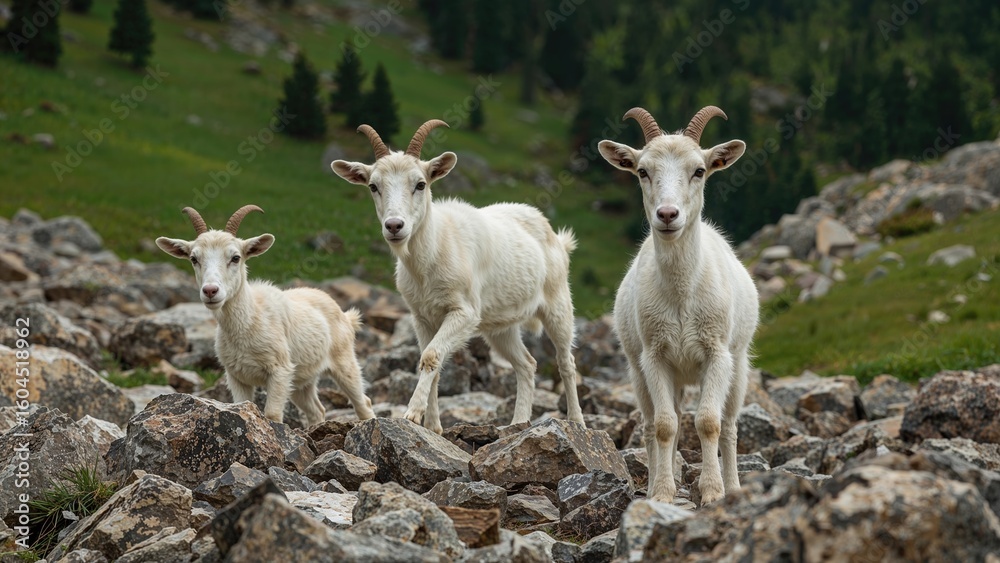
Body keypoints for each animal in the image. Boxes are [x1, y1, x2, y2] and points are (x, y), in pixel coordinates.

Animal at [155, 205, 376, 426]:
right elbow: (241, 406)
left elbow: (272, 415)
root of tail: (346, 316)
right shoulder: (236, 375)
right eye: (194, 259)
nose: (210, 291)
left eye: (235, 258)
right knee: (317, 410)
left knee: (363, 403)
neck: (250, 319)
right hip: (300, 379)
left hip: (344, 361)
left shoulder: (280, 371)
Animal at [331, 120, 584, 433]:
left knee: (566, 361)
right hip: (501, 326)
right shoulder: (422, 317)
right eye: (373, 186)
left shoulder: (464, 313)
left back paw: (577, 421)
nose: (394, 226)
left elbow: (431, 357)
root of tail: (557, 238)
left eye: (420, 184)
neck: (431, 257)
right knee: (527, 364)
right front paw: (432, 426)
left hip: (558, 305)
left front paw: (412, 415)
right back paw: (518, 423)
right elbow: (433, 363)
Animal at [598, 107, 758, 505]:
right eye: (642, 171)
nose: (668, 215)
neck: (682, 295)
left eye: (699, 170)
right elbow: (665, 425)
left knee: (729, 424)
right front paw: (662, 493)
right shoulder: (655, 356)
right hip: (641, 371)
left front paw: (713, 492)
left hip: (739, 365)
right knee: (651, 422)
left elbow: (709, 422)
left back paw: (734, 486)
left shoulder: (717, 354)